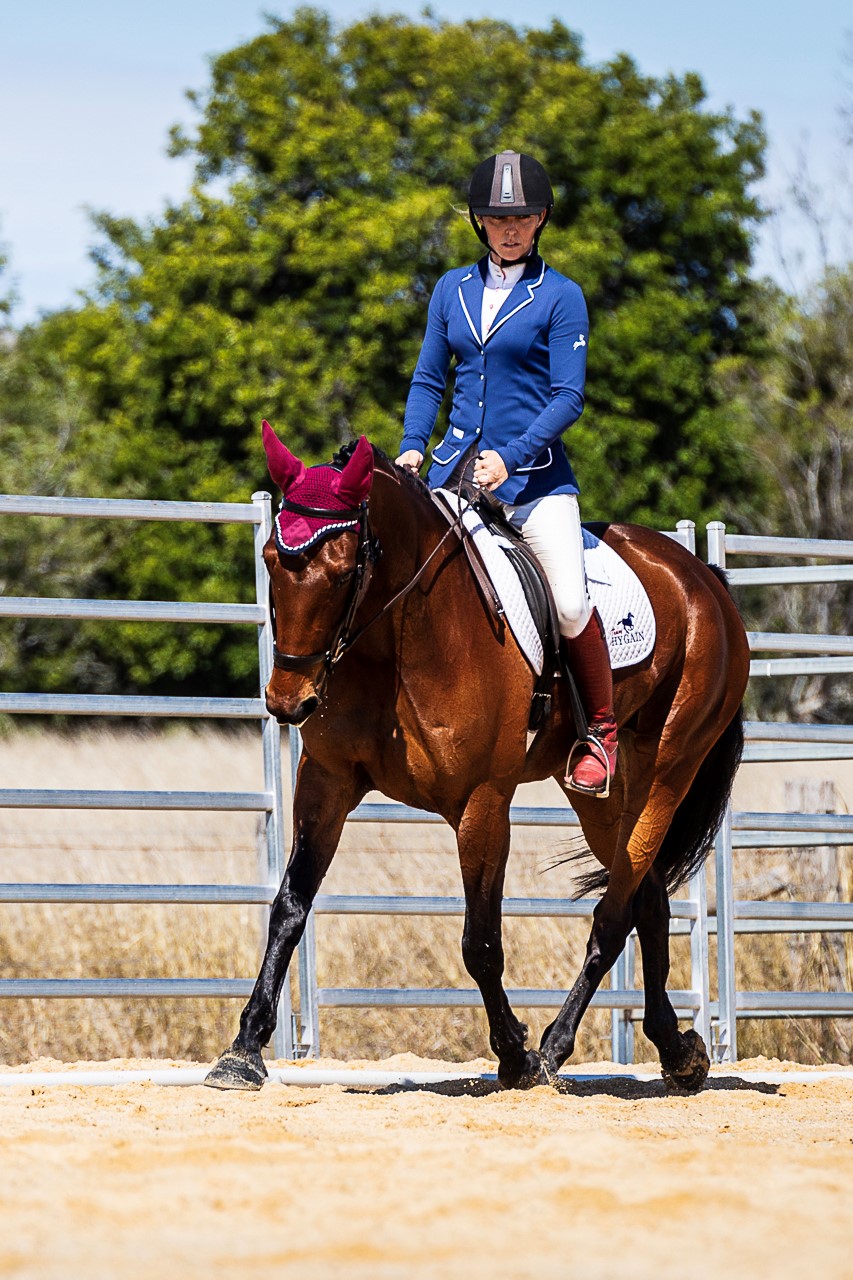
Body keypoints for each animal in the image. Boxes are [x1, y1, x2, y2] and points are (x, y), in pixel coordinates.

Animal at [204, 427, 742, 1090]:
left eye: (344, 569)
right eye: (271, 561)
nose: (287, 701)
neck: (400, 639)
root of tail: (702, 576)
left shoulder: (483, 803)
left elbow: (479, 940)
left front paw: (513, 1053)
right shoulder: (325, 782)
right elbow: (288, 907)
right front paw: (243, 1049)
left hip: (669, 769)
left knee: (614, 913)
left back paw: (555, 1047)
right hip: (602, 793)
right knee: (647, 896)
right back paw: (678, 1049)